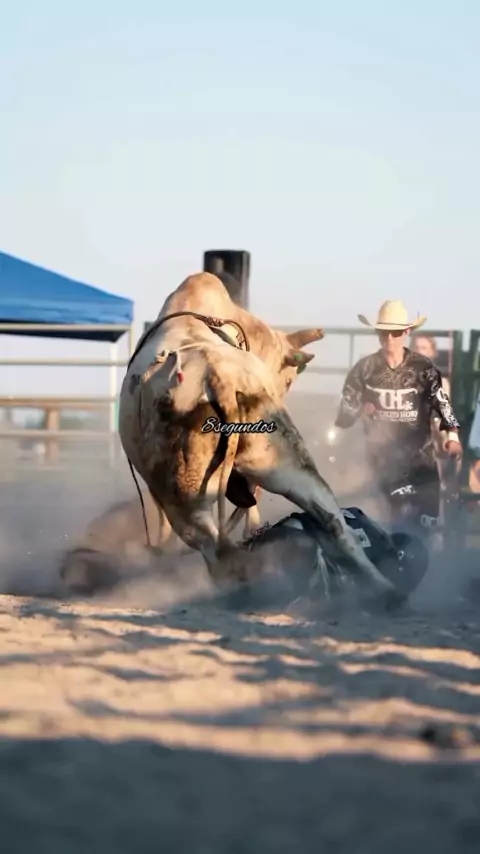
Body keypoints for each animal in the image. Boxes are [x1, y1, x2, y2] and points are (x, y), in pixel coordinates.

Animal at [118, 272, 395, 595]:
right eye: (288, 380)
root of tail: (219, 378)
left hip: (183, 494)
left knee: (219, 551)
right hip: (287, 463)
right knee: (336, 523)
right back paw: (384, 588)